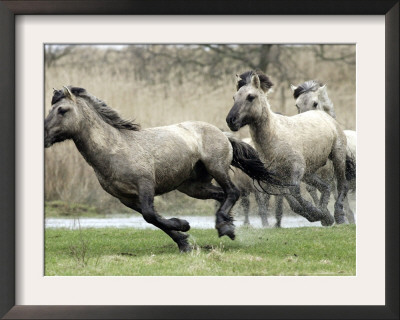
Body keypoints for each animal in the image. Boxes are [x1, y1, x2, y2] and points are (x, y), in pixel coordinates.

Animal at [44, 86, 284, 251]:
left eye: (62, 110)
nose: (44, 136)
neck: (115, 147)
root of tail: (223, 134)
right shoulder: (126, 198)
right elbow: (152, 219)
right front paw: (184, 242)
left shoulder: (145, 185)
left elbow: (151, 214)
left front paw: (183, 226)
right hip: (193, 187)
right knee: (222, 194)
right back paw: (227, 226)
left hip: (216, 168)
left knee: (233, 191)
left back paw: (224, 226)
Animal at [227, 70, 354, 225]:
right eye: (234, 97)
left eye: (251, 97)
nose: (230, 120)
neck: (274, 139)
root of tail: (324, 115)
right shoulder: (276, 179)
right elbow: (291, 201)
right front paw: (320, 216)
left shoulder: (295, 172)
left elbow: (295, 193)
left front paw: (316, 214)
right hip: (309, 172)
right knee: (325, 186)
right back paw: (327, 216)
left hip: (337, 156)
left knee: (342, 185)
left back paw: (339, 216)